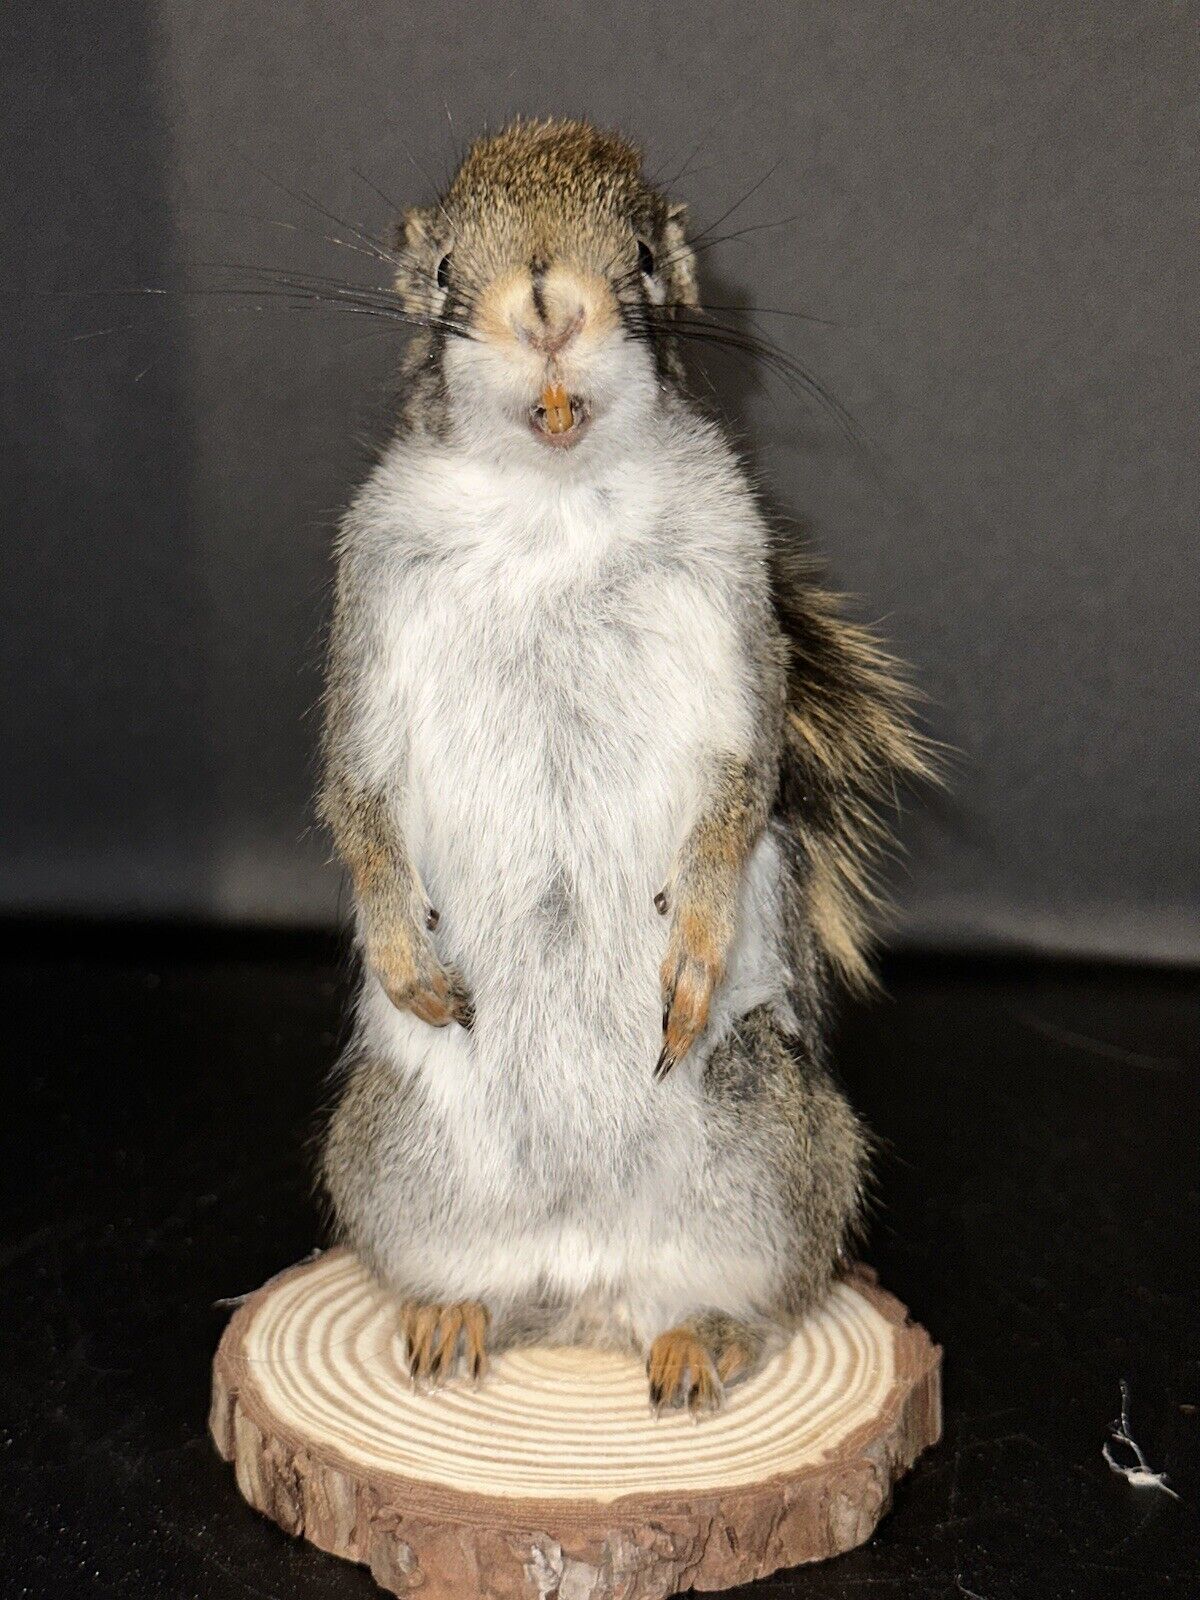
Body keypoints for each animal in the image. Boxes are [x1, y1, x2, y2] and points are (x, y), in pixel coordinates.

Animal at [318, 118, 927, 1416]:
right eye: (442, 271)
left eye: (644, 257)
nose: (548, 306)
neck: (550, 500)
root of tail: (585, 1288)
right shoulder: (370, 590)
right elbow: (352, 791)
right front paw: (400, 947)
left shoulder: (733, 591)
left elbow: (743, 781)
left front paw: (691, 940)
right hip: (391, 1149)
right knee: (472, 1273)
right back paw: (451, 1310)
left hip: (776, 1151)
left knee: (761, 1295)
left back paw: (705, 1338)